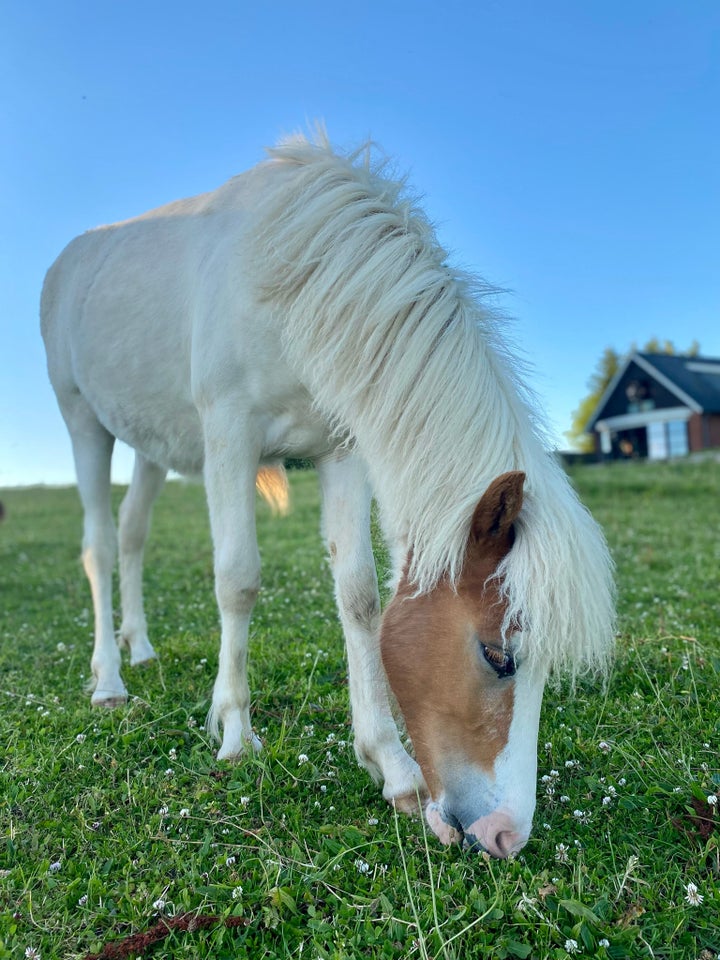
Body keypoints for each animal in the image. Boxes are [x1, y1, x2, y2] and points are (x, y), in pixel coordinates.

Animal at [39, 131, 612, 860]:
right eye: (497, 656)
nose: (506, 834)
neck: (292, 276)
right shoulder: (229, 431)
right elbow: (238, 580)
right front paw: (235, 731)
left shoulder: (344, 449)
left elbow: (360, 595)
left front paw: (390, 764)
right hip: (82, 420)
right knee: (101, 546)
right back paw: (110, 680)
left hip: (149, 444)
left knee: (134, 534)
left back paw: (139, 648)